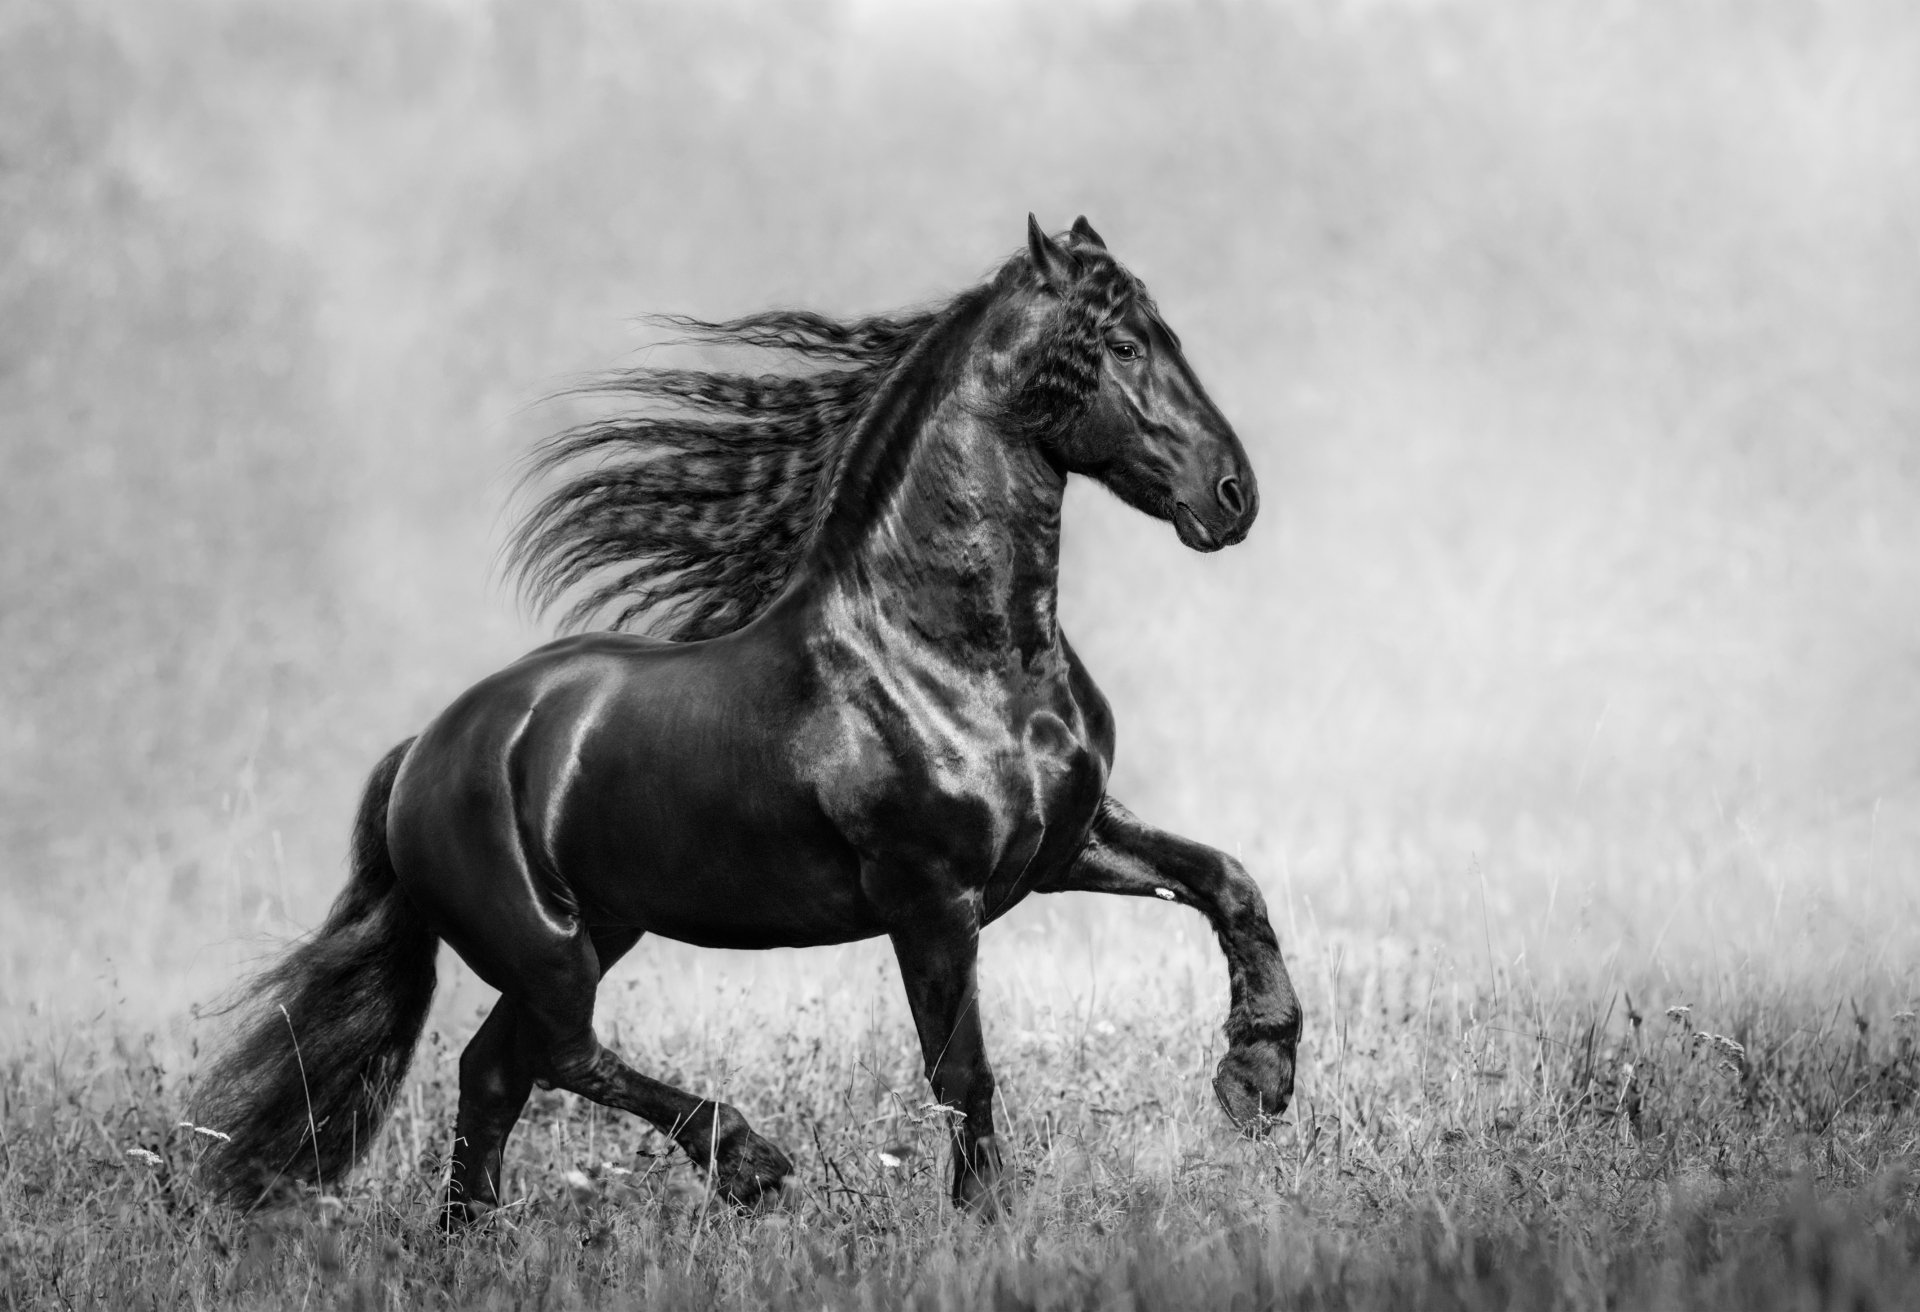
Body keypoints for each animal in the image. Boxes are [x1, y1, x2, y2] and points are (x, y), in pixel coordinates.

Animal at [193, 216, 1304, 1221]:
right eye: (1121, 346)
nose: (1233, 494)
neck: (952, 655)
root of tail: (424, 751)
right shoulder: (930, 899)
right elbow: (961, 1071)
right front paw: (983, 1220)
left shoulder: (1066, 843)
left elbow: (1228, 882)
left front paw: (1258, 1076)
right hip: (548, 942)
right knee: (557, 1050)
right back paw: (747, 1162)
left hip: (603, 924)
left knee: (497, 1069)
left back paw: (470, 1241)